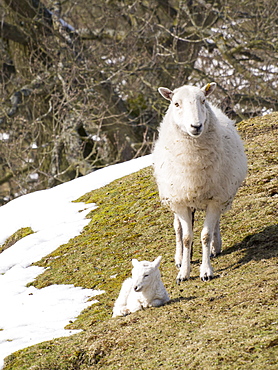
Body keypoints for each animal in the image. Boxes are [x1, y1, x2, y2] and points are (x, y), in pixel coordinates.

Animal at [153, 81, 247, 284]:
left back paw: (215, 247)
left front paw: (206, 271)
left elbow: (205, 235)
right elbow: (187, 238)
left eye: (203, 101)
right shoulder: (180, 201)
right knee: (178, 229)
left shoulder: (216, 199)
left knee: (214, 225)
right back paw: (180, 257)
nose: (196, 126)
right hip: (174, 198)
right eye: (176, 103)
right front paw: (184, 273)